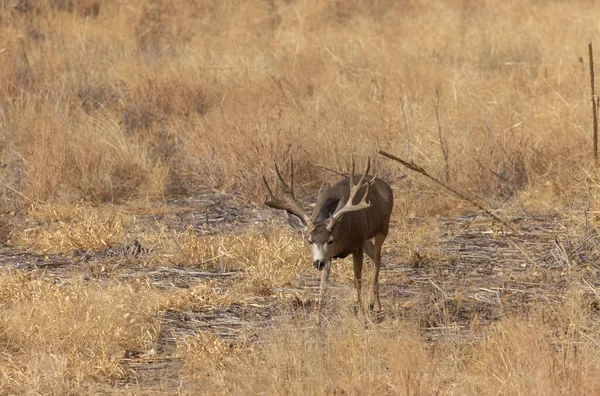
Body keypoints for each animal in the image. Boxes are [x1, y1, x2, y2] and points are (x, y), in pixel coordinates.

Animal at [262, 156, 394, 314]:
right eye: (310, 241)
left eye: (330, 240)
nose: (317, 262)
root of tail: (385, 184)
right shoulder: (329, 256)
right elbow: (323, 285)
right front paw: (317, 316)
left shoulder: (357, 244)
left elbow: (357, 280)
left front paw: (362, 313)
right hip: (367, 237)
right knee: (374, 255)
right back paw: (375, 303)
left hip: (383, 227)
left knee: (378, 257)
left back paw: (374, 304)